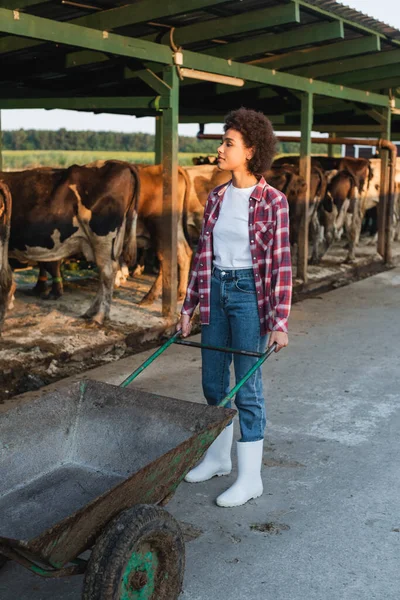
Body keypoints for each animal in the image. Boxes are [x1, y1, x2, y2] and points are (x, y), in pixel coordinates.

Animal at [1, 161, 139, 324]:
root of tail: (121, 163)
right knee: (107, 273)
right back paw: (91, 312)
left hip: (102, 237)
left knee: (107, 273)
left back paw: (99, 317)